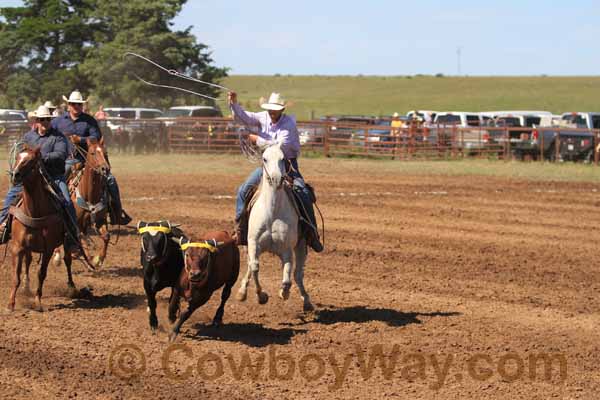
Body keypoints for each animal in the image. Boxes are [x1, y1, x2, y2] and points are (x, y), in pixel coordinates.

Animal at [7, 146, 88, 310]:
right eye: (18, 157)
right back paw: (26, 287)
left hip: (66, 242)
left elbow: (41, 273)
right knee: (28, 261)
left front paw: (38, 301)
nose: (15, 175)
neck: (34, 211)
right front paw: (11, 303)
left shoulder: (48, 249)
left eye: (31, 160)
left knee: (67, 260)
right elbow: (16, 275)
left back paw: (72, 288)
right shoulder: (18, 247)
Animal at [237, 141, 316, 312]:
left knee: (298, 274)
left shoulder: (287, 249)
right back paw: (242, 292)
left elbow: (287, 278)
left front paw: (284, 293)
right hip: (247, 244)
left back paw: (306, 301)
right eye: (265, 158)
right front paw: (261, 296)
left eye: (283, 159)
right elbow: (254, 267)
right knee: (249, 265)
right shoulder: (253, 243)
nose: (277, 179)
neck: (272, 212)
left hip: (301, 246)